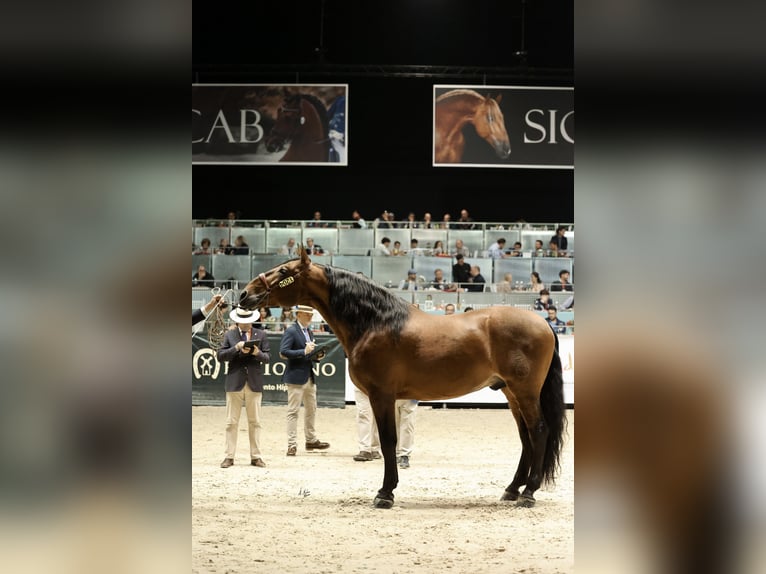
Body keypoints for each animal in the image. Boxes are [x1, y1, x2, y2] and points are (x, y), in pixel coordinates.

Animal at [240, 250, 568, 510]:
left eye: (284, 271)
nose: (245, 294)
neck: (376, 323)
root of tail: (544, 324)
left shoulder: (381, 395)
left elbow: (388, 441)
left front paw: (385, 493)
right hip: (511, 393)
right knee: (526, 437)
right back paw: (512, 490)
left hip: (525, 392)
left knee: (539, 431)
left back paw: (528, 493)